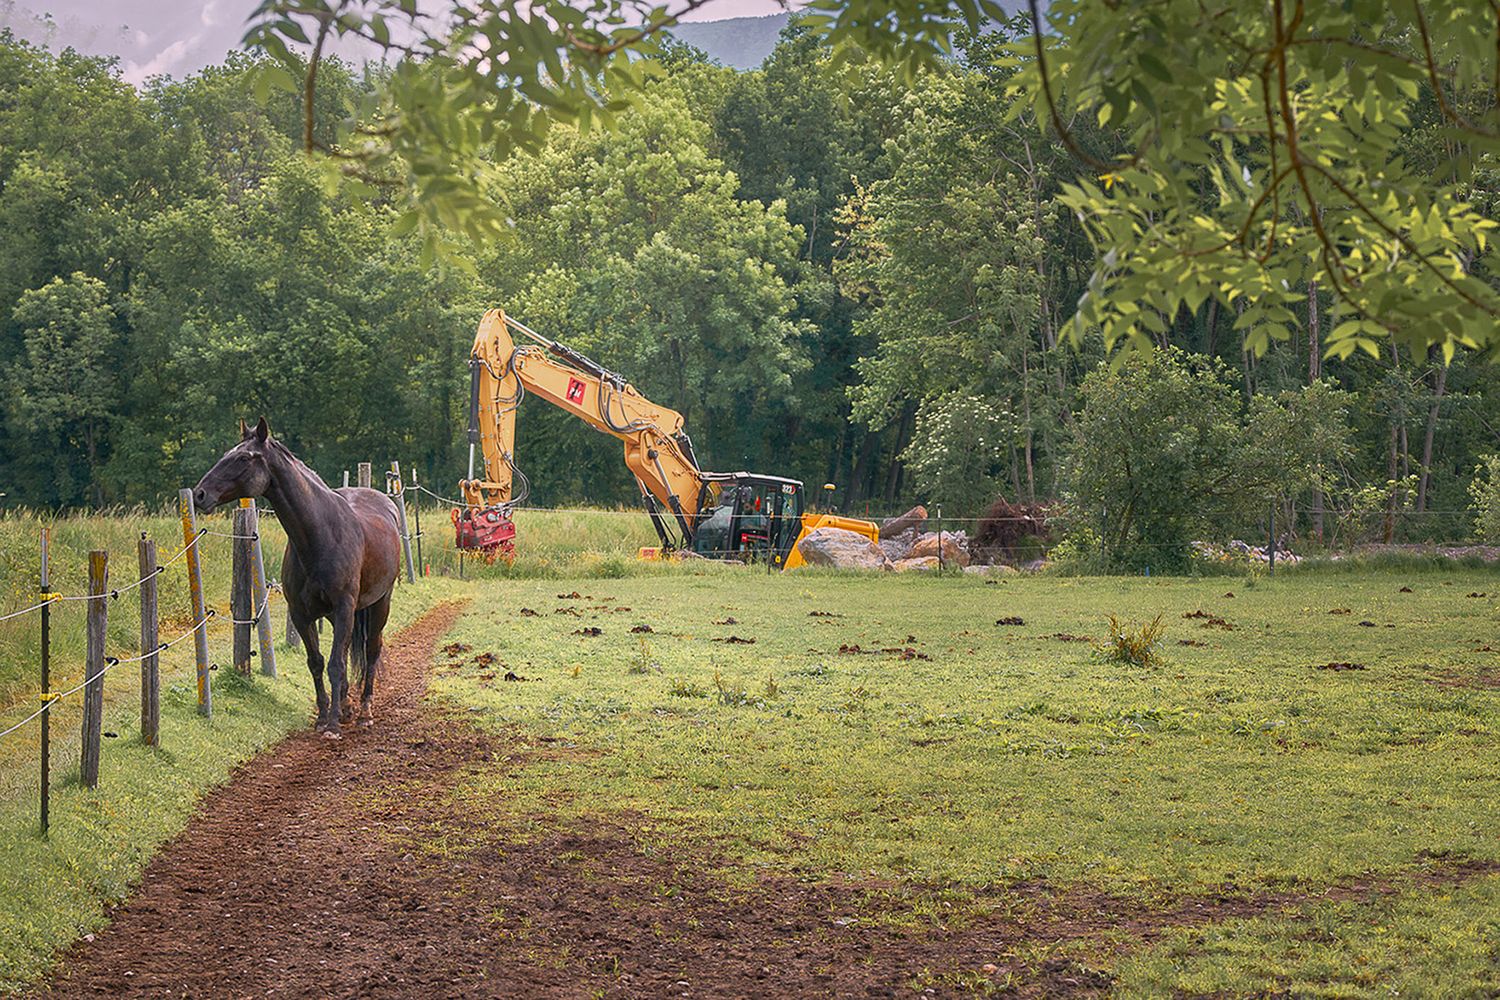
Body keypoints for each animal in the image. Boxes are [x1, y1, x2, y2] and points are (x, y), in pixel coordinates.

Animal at [193, 418, 401, 737]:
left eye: (244, 458)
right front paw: (324, 716)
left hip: (379, 605)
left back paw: (364, 711)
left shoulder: (344, 608)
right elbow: (317, 662)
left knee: (371, 651)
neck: (320, 536)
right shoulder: (302, 614)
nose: (200, 494)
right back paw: (347, 707)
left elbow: (336, 664)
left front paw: (332, 724)